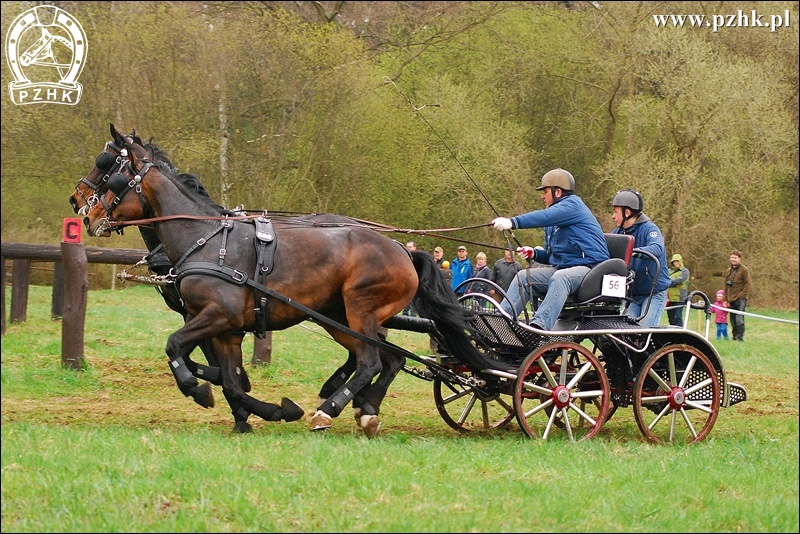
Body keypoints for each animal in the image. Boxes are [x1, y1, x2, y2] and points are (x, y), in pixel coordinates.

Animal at [83, 127, 482, 438]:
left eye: (111, 174)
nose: (87, 213)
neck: (205, 238)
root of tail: (402, 249)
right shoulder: (226, 330)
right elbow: (229, 380)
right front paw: (269, 411)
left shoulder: (218, 316)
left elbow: (175, 347)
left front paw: (197, 390)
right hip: (339, 317)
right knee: (389, 358)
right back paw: (364, 407)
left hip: (360, 310)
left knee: (371, 361)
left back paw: (330, 409)